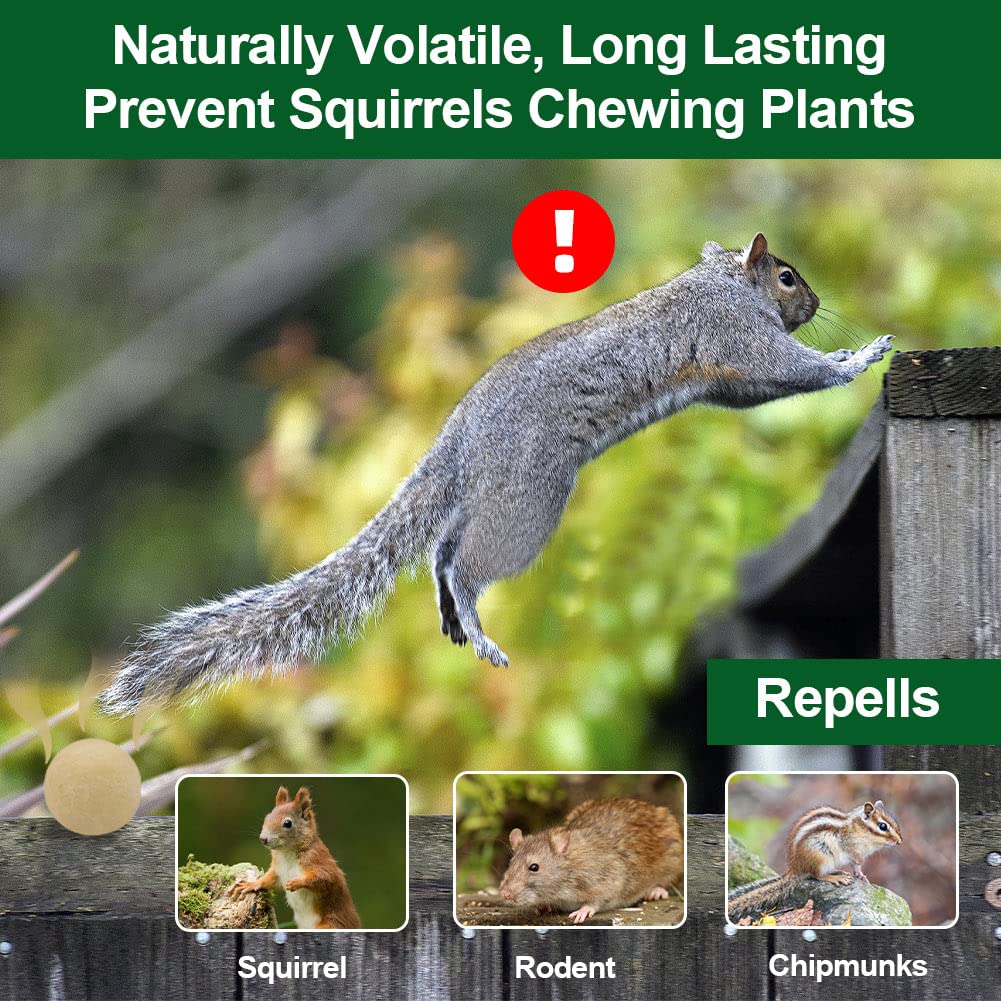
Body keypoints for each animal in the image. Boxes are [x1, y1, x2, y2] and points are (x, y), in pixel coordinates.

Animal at [99, 232, 893, 713]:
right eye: (786, 275)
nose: (815, 303)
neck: (721, 282)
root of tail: (456, 438)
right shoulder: (740, 338)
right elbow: (793, 369)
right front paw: (856, 356)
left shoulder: (731, 379)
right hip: (526, 502)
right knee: (463, 563)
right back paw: (474, 624)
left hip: (491, 494)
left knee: (441, 551)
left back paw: (454, 619)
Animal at [227, 785, 361, 930]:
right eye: (267, 817)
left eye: (288, 823)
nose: (263, 839)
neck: (287, 852)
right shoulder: (278, 869)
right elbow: (269, 880)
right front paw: (251, 884)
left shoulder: (317, 859)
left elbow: (326, 878)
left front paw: (296, 882)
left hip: (331, 924)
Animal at [727, 799, 903, 921]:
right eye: (882, 826)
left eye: (895, 823)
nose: (900, 841)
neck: (858, 828)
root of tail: (795, 869)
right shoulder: (851, 848)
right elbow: (856, 861)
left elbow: (856, 867)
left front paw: (862, 876)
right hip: (822, 858)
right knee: (818, 875)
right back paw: (835, 877)